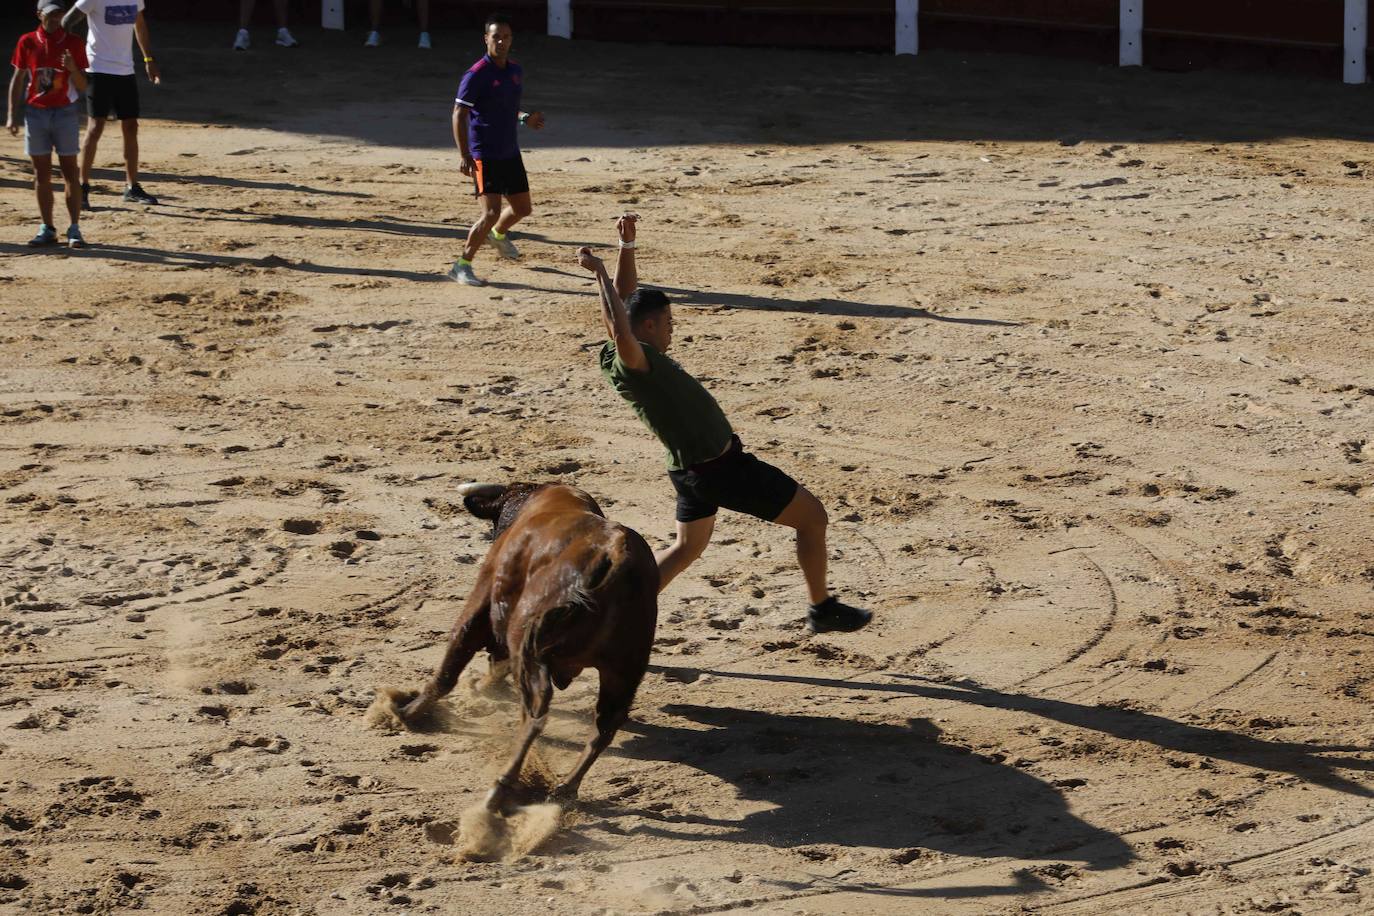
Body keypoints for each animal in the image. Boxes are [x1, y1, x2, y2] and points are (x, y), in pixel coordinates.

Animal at [392, 480, 659, 807]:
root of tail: (617, 555)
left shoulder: (481, 601)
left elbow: (450, 664)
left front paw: (407, 712)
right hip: (623, 673)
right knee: (604, 727)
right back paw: (565, 788)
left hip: (530, 650)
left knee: (536, 715)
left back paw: (502, 786)